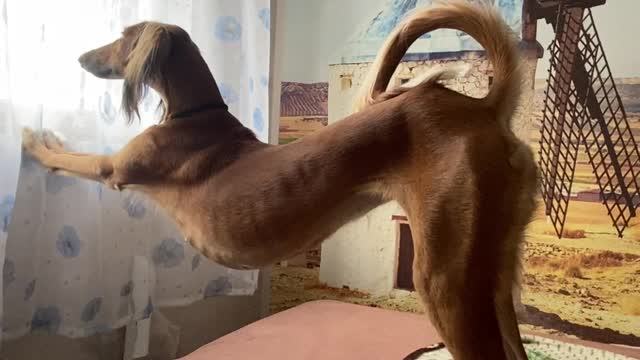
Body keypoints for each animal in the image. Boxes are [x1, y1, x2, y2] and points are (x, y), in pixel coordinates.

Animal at [22, 1, 536, 358]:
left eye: (122, 39)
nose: (81, 58)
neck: (195, 114)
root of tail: (481, 108)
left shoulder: (118, 169)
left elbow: (73, 158)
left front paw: (35, 139)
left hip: (446, 279)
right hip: (494, 275)